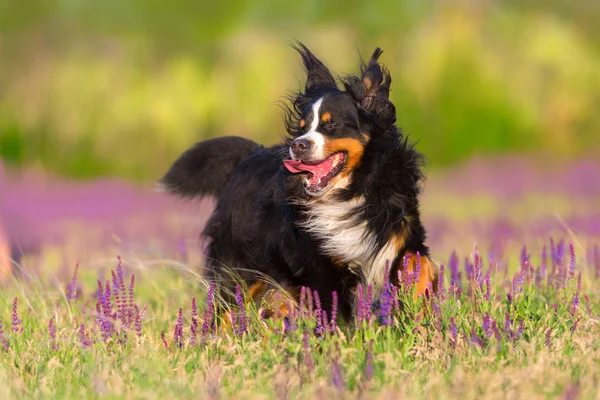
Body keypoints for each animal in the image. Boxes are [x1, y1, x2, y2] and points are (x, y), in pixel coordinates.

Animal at [159, 42, 438, 322]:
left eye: (331, 124)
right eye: (303, 127)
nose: (298, 145)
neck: (351, 191)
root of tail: (248, 156)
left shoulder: (401, 231)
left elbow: (421, 263)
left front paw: (421, 302)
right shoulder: (319, 262)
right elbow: (335, 312)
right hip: (239, 267)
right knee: (224, 311)